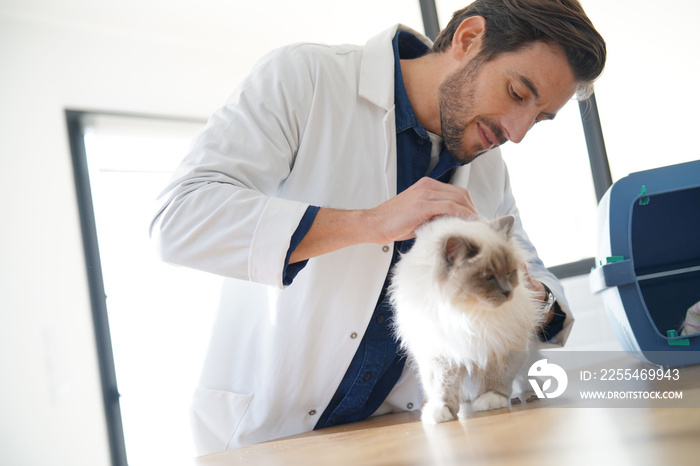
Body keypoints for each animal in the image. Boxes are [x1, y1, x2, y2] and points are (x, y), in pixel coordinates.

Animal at [388, 215, 548, 422]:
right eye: (488, 277)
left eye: (509, 273)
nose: (507, 292)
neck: (467, 313)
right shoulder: (440, 353)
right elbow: (442, 387)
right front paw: (440, 412)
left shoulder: (500, 345)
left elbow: (496, 378)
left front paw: (491, 400)